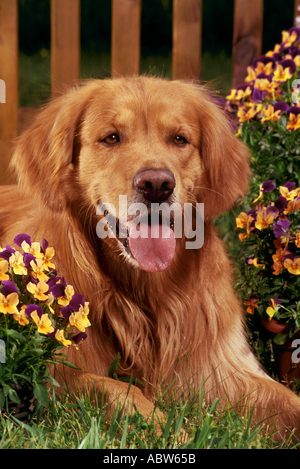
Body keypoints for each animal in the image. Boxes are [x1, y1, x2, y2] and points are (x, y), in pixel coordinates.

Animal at [0, 75, 300, 436]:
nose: (156, 184)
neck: (145, 293)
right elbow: (118, 389)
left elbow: (290, 403)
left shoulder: (223, 371)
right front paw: (175, 433)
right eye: (111, 137)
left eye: (179, 139)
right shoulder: (58, 370)